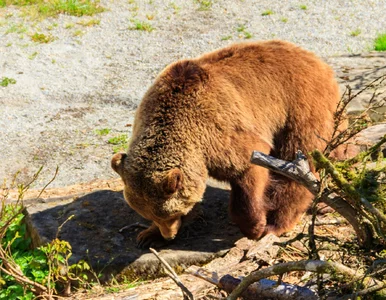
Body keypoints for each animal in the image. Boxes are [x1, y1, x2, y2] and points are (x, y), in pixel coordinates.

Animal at [111, 40, 338, 248]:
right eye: (150, 215)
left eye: (172, 213)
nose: (169, 236)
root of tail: (317, 61)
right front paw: (147, 235)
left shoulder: (221, 131)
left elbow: (249, 170)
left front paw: (255, 227)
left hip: (297, 109)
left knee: (294, 164)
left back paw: (278, 221)